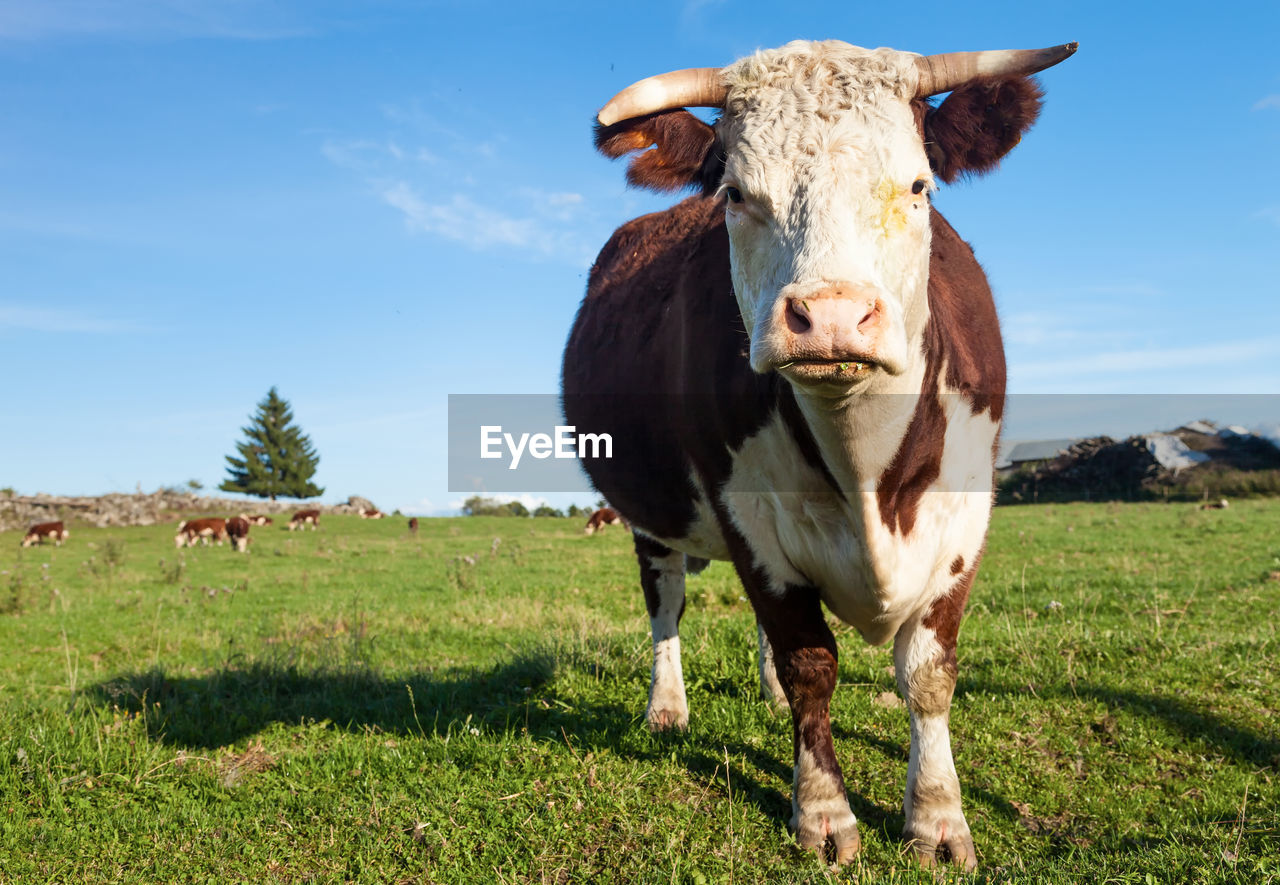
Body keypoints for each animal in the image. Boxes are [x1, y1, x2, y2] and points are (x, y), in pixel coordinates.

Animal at [565, 38, 1075, 870]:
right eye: (737, 194)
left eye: (918, 185)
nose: (831, 316)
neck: (866, 472)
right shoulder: (747, 518)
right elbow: (811, 663)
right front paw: (824, 812)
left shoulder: (964, 518)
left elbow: (927, 671)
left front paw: (938, 818)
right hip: (650, 514)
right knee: (666, 601)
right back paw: (667, 706)